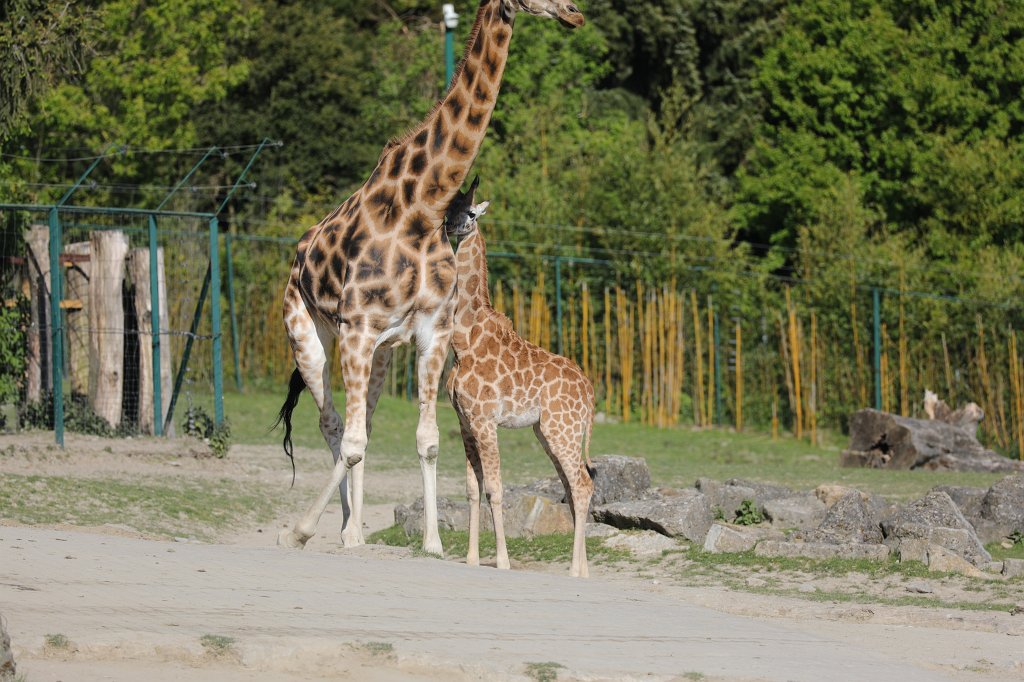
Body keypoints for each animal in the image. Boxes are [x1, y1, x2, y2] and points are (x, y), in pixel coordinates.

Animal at [275, 0, 586, 554]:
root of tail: (299, 253)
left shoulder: (430, 332)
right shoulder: (357, 328)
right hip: (307, 331)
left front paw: (434, 544)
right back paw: (337, 529)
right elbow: (350, 441)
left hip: (378, 352)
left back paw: (354, 529)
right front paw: (301, 530)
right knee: (333, 425)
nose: (575, 13)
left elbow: (426, 440)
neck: (422, 206)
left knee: (363, 421)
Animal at [443, 180, 595, 577]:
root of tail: (590, 394)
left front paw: (502, 561)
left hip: (562, 430)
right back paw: (583, 569)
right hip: (548, 431)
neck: (462, 341)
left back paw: (575, 571)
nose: (449, 227)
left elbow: (495, 489)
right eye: (449, 208)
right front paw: (471, 559)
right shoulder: (465, 422)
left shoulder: (485, 421)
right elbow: (472, 489)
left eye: (470, 212)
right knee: (573, 487)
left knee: (583, 484)